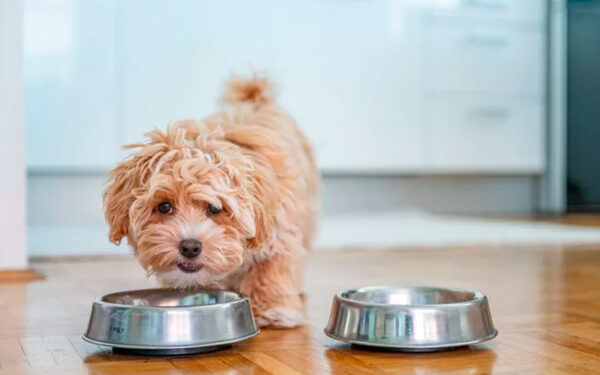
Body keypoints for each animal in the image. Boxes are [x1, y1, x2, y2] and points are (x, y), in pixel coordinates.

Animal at [103, 75, 318, 328]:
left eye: (215, 208)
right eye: (164, 206)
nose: (190, 247)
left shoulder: (278, 234)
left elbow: (270, 269)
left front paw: (271, 310)